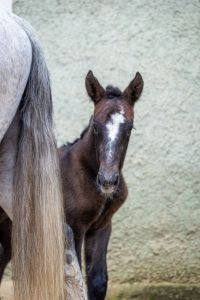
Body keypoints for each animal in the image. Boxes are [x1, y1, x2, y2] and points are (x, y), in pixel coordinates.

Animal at [59, 69, 144, 298]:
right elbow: (75, 280)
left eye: (130, 128)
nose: (107, 180)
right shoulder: (74, 227)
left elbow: (97, 282)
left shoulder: (101, 226)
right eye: (95, 126)